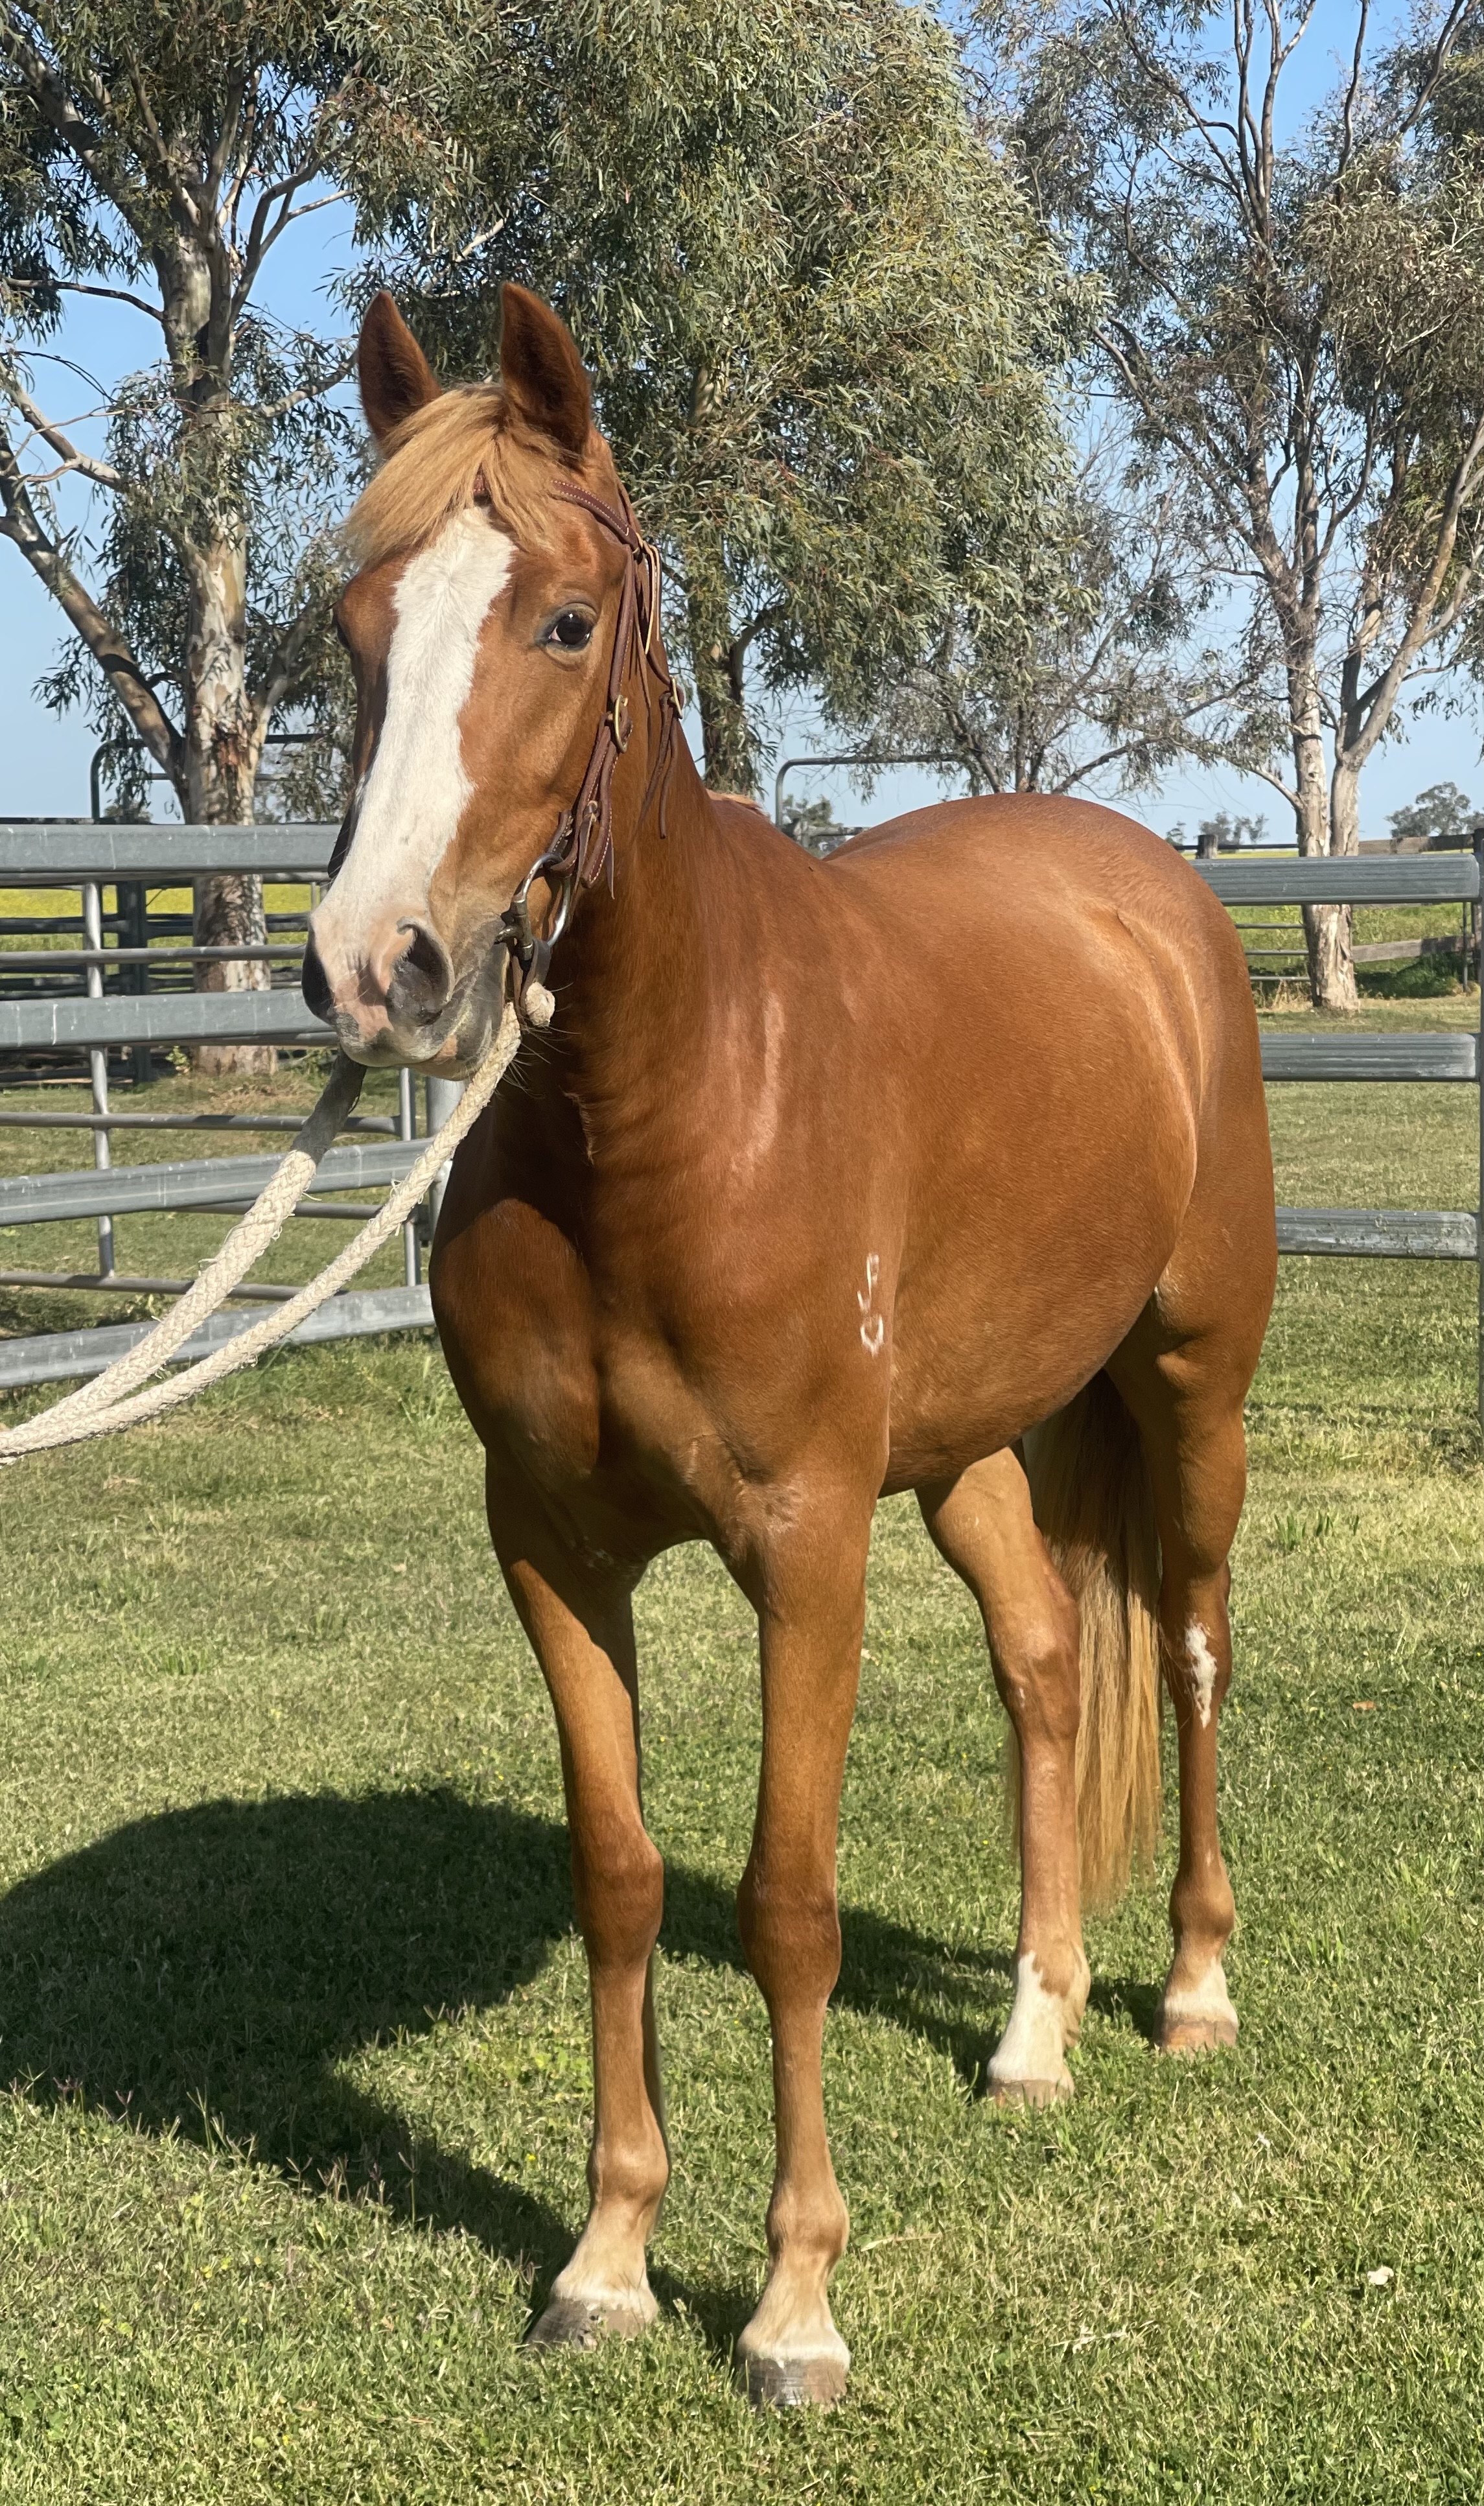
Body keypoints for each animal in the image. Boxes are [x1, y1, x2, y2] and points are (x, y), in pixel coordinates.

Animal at [303, 283, 1278, 2408]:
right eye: (355, 624)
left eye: (562, 621)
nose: (375, 965)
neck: (665, 1107)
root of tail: (1150, 891)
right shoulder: (551, 1550)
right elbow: (620, 1878)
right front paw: (602, 2262)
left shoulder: (804, 1548)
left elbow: (787, 1902)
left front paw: (792, 2303)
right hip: (977, 1451)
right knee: (1043, 1664)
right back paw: (1032, 2029)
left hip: (1190, 1387)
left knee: (1183, 1647)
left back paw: (1186, 1988)